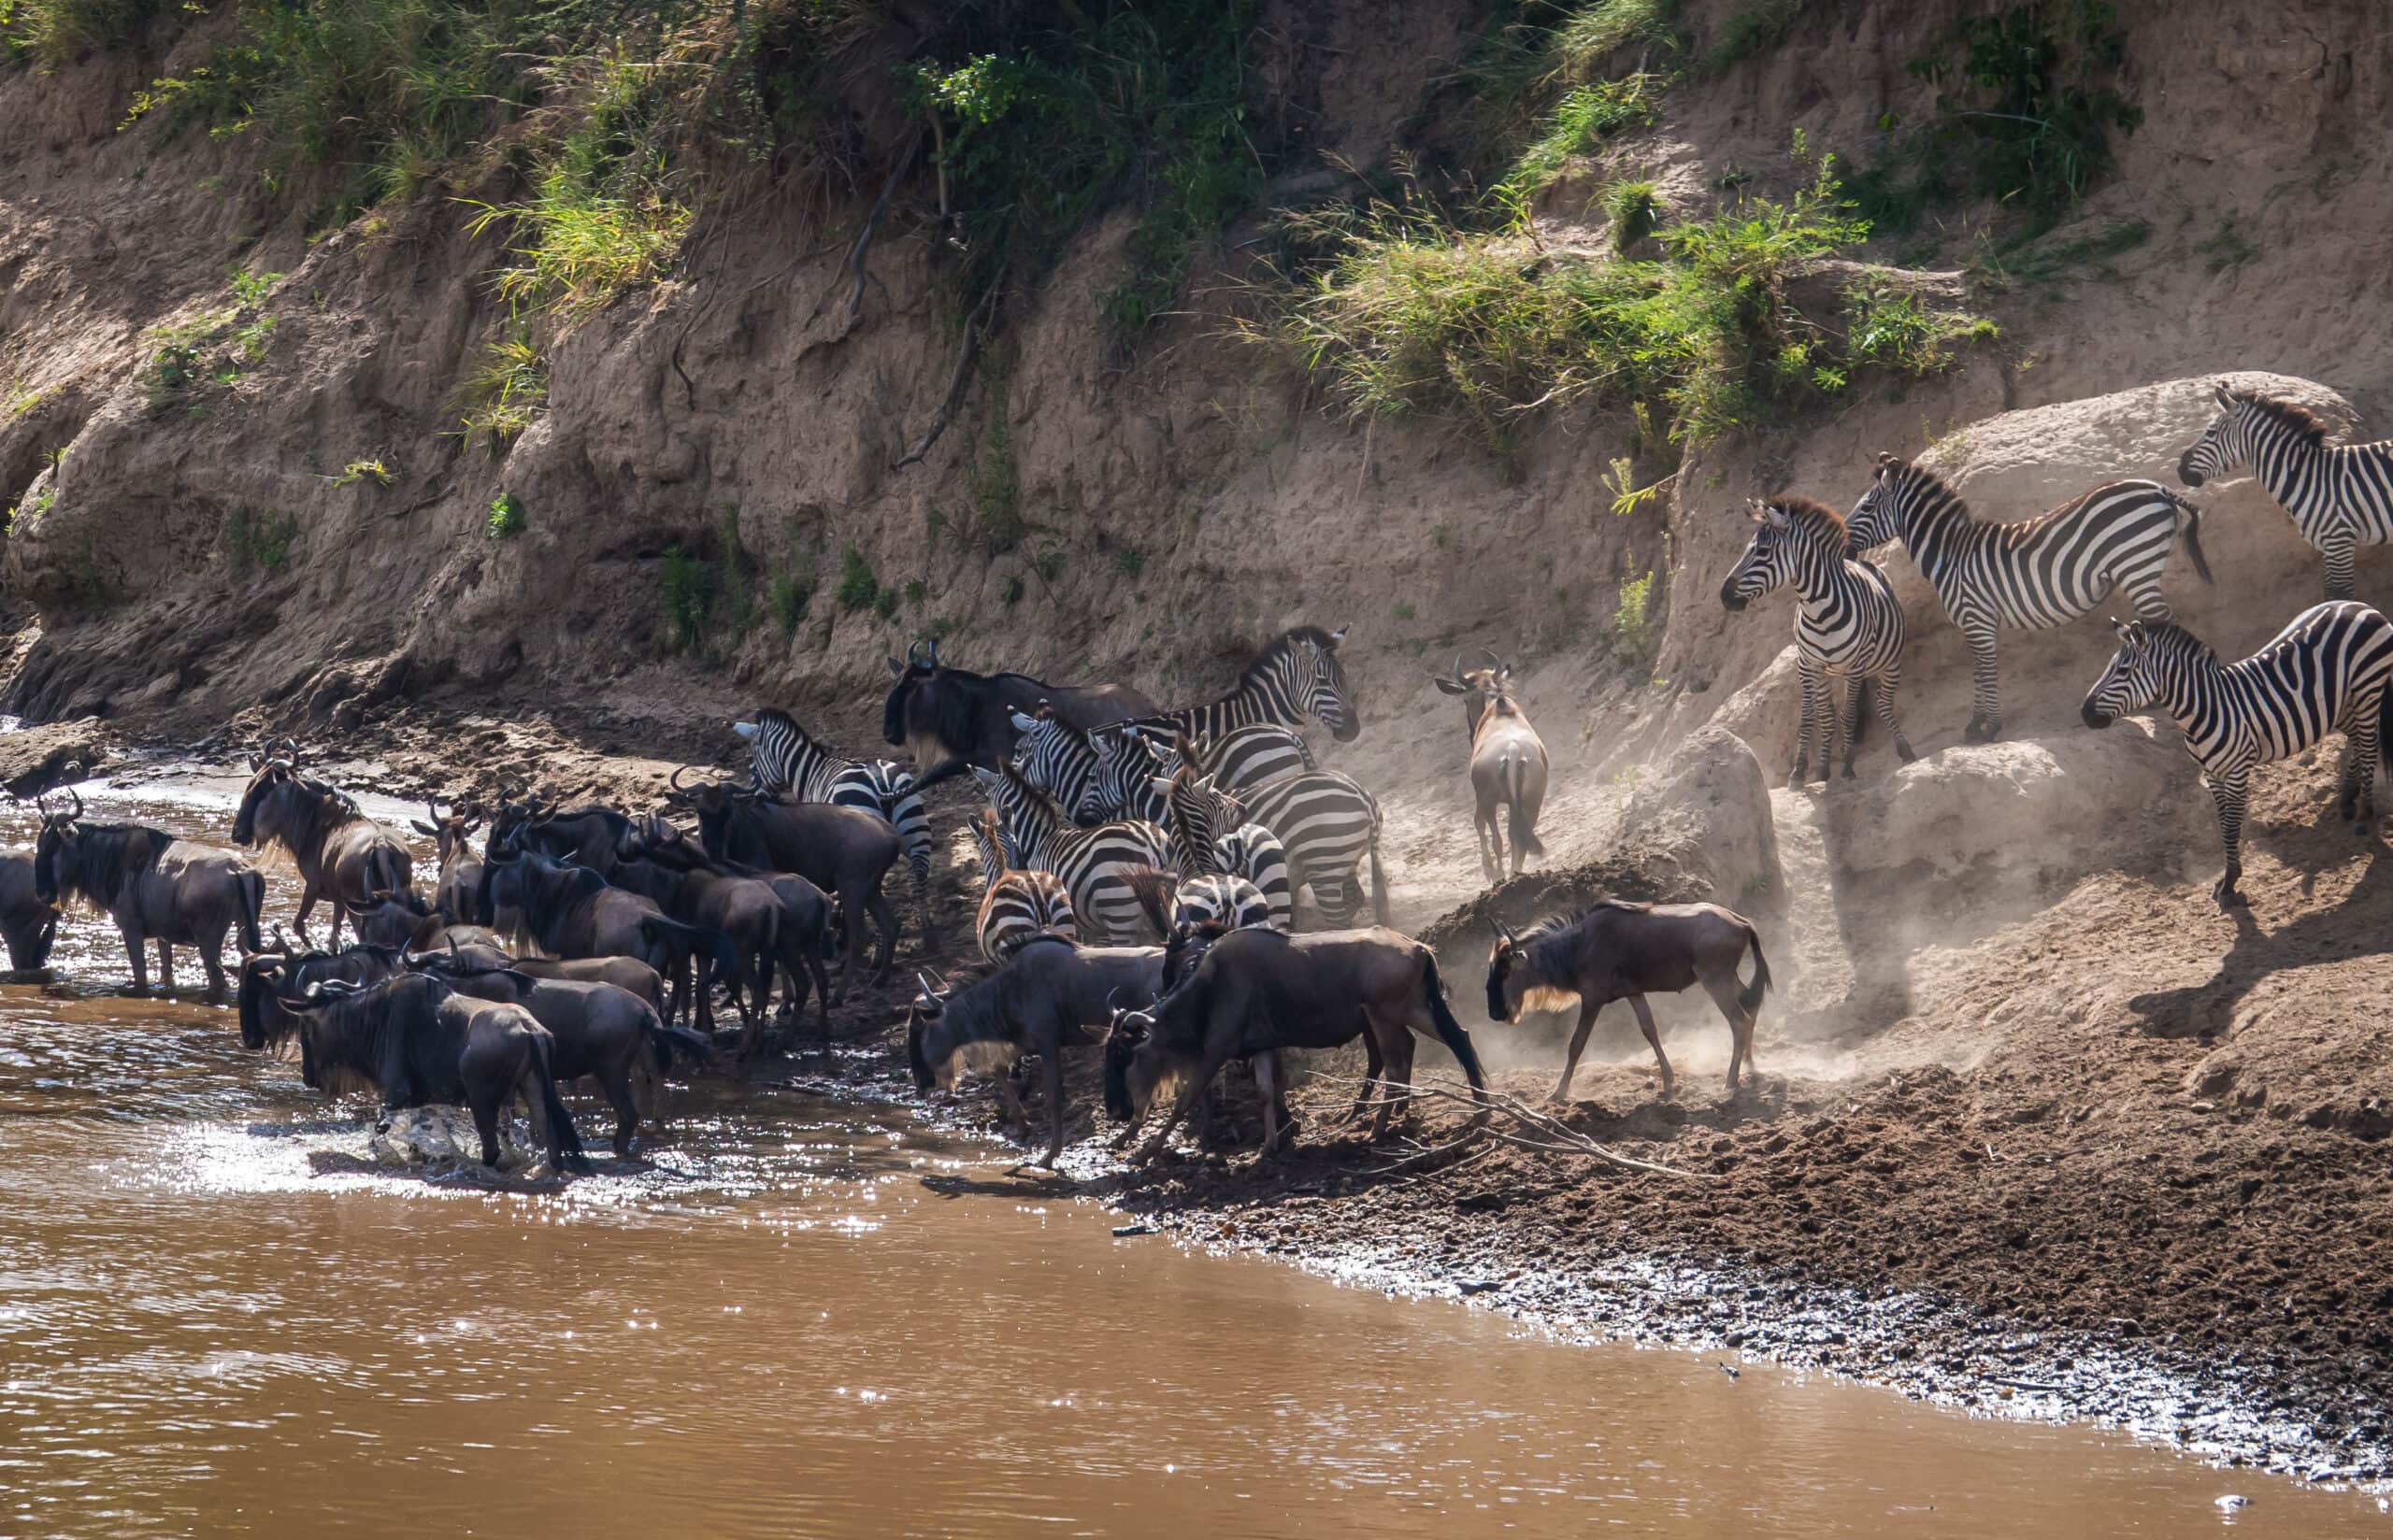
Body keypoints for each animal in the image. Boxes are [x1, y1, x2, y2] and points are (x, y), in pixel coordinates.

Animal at [733, 709, 933, 938]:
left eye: (750, 759)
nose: (752, 797)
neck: (810, 773)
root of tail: (882, 782)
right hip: (916, 830)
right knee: (919, 877)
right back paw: (928, 932)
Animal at [1720, 494, 1916, 783]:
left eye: (1762, 551)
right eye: (1747, 549)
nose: (1724, 596)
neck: (1819, 612)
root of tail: (1861, 561)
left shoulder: (1854, 666)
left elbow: (1848, 716)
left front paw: (1847, 767)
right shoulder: (1808, 665)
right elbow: (1813, 718)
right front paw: (1805, 771)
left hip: (1887, 663)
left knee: (1883, 704)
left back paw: (1904, 749)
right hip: (1830, 672)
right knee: (1834, 712)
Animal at [1846, 451, 2213, 742]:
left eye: (1868, 505)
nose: (1844, 543)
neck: (1950, 555)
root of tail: (2159, 488)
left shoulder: (1976, 618)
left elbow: (1986, 671)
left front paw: (1990, 727)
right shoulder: (1975, 623)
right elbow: (1979, 671)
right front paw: (1976, 725)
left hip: (2137, 566)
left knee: (2164, 623)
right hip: (2140, 568)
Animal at [2081, 601, 2393, 908]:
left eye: (2123, 671)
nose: (2084, 714)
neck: (2205, 710)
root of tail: (2359, 605)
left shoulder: (2236, 772)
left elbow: (2231, 826)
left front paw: (2230, 883)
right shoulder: (2212, 774)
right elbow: (2223, 826)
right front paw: (2228, 876)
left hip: (2367, 690)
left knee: (2368, 746)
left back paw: (2364, 815)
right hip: (2340, 702)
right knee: (2357, 741)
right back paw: (2348, 800)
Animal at [2179, 381, 2393, 601]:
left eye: (2211, 432)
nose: (2180, 470)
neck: (2310, 477)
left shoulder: (2339, 542)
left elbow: (2339, 596)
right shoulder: (2328, 547)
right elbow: (2329, 596)